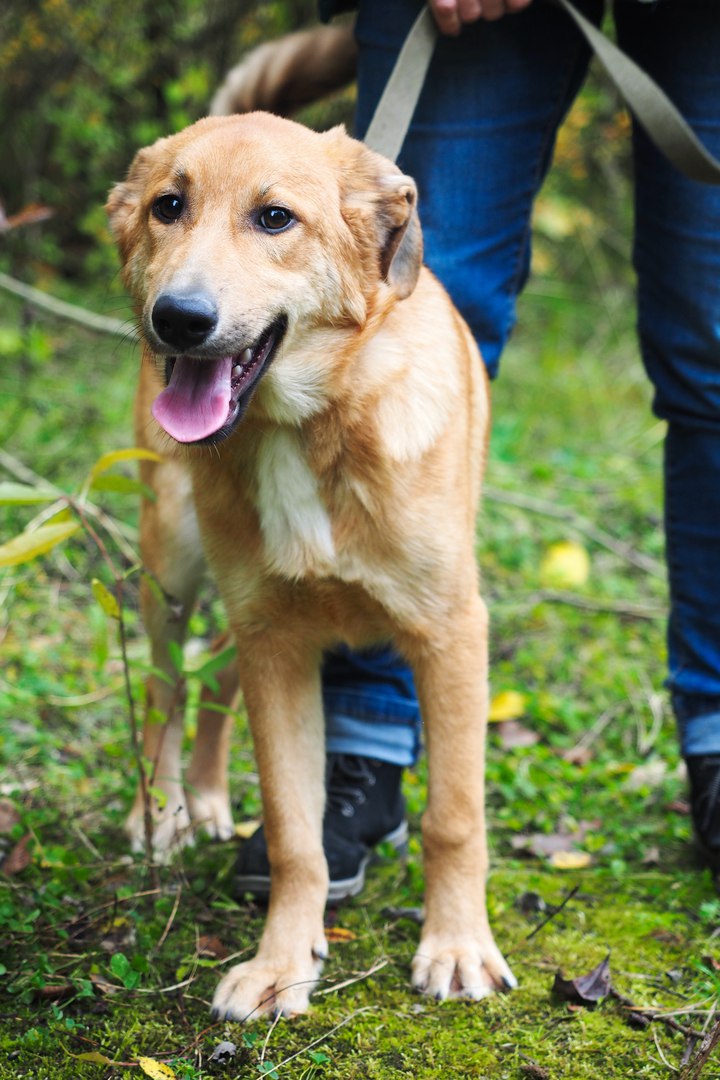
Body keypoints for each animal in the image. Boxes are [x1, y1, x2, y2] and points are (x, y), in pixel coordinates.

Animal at [106, 111, 515, 1019]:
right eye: (168, 206)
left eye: (275, 219)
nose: (177, 319)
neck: (303, 425)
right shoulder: (276, 642)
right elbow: (296, 835)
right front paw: (281, 964)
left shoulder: (448, 634)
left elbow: (454, 818)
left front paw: (458, 948)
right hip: (175, 568)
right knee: (169, 682)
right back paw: (165, 811)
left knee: (215, 680)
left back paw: (210, 799)